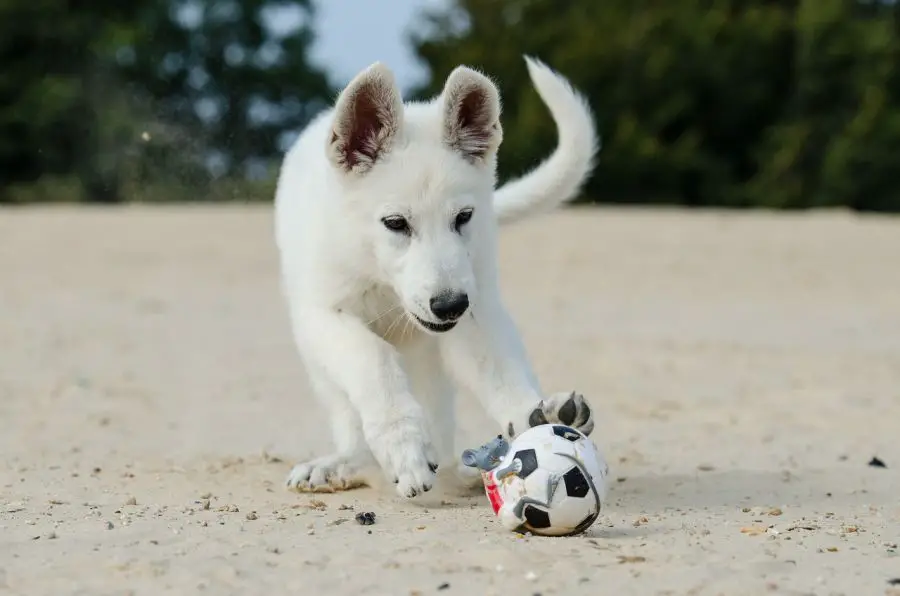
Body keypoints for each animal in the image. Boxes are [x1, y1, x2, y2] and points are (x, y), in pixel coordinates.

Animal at [274, 54, 596, 498]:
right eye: (395, 223)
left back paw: (462, 468)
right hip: (321, 363)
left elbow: (501, 370)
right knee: (350, 415)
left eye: (463, 217)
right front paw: (402, 446)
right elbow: (372, 359)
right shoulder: (324, 313)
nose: (448, 306)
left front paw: (534, 418)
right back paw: (346, 463)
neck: (380, 274)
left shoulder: (475, 308)